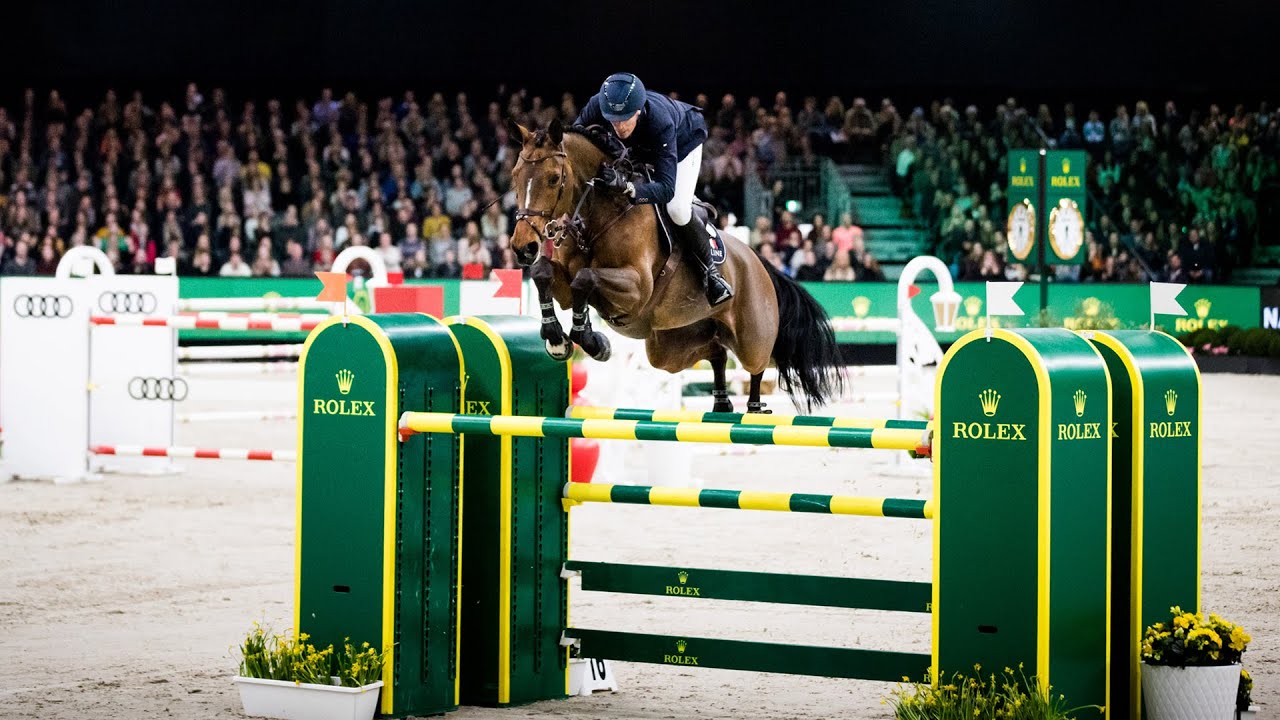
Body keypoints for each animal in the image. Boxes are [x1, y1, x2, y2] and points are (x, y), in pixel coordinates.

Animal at [504, 115, 844, 412]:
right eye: (515, 176)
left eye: (553, 179)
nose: (523, 248)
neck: (599, 217)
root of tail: (759, 262)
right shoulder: (563, 282)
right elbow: (544, 273)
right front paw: (556, 338)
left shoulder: (636, 288)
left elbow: (585, 278)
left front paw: (590, 339)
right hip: (669, 346)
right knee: (716, 353)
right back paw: (722, 402)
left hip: (752, 336)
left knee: (757, 364)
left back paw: (754, 406)